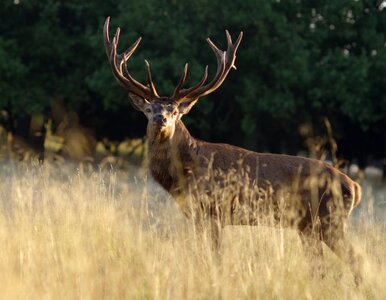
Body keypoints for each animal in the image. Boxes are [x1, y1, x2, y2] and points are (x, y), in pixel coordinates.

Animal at [104, 17, 364, 286]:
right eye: (148, 109)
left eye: (175, 111)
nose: (160, 119)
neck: (185, 173)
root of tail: (355, 187)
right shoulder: (199, 216)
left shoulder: (213, 210)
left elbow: (215, 257)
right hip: (308, 226)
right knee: (320, 267)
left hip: (330, 219)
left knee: (357, 260)